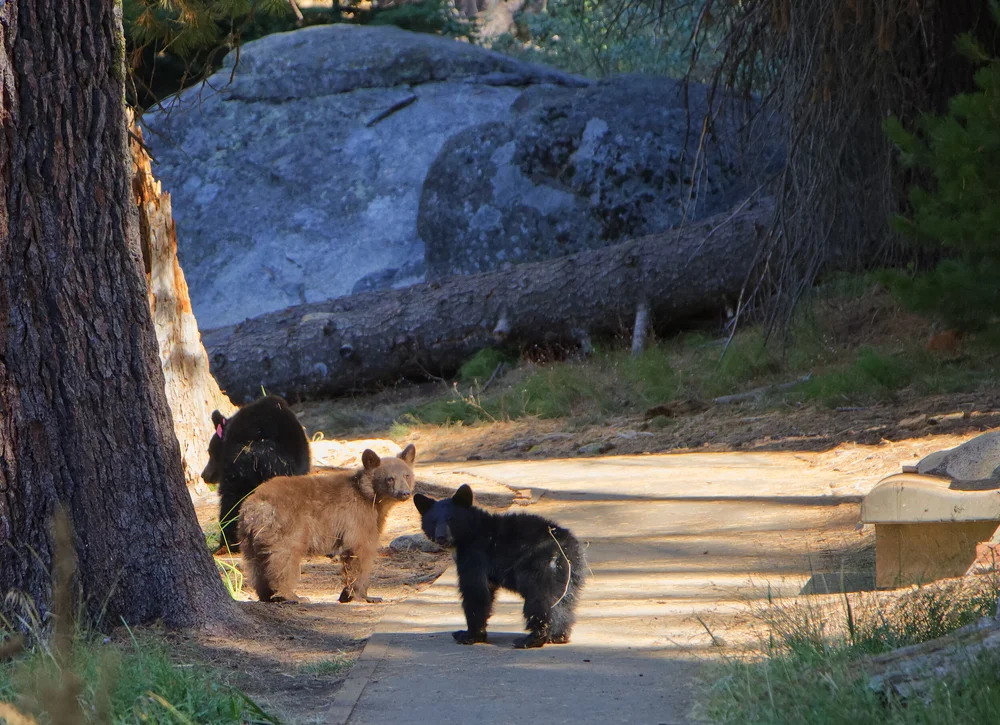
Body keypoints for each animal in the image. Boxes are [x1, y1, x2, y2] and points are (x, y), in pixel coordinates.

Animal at [239, 444, 417, 604]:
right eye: (390, 478)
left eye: (407, 475)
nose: (404, 493)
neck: (370, 498)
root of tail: (257, 505)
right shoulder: (358, 517)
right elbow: (360, 551)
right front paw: (365, 595)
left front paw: (347, 595)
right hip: (286, 527)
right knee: (283, 559)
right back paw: (292, 596)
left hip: (249, 536)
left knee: (256, 564)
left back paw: (266, 595)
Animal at [413, 484, 586, 649]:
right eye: (433, 521)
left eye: (451, 519)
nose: (441, 537)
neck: (470, 534)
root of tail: (563, 547)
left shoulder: (476, 556)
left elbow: (475, 590)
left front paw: (468, 635)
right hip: (570, 572)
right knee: (565, 600)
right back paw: (558, 636)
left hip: (538, 567)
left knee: (540, 599)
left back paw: (530, 639)